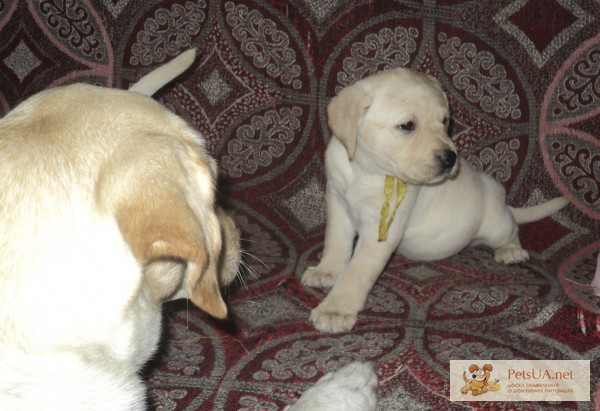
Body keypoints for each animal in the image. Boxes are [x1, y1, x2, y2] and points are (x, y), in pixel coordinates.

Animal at [302, 69, 568, 334]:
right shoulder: (337, 202)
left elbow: (357, 270)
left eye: (444, 121)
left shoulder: (381, 228)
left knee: (512, 231)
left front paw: (335, 309)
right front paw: (326, 271)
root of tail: (504, 204)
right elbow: (335, 243)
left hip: (497, 226)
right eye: (407, 126)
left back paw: (511, 251)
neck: (365, 171)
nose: (451, 158)